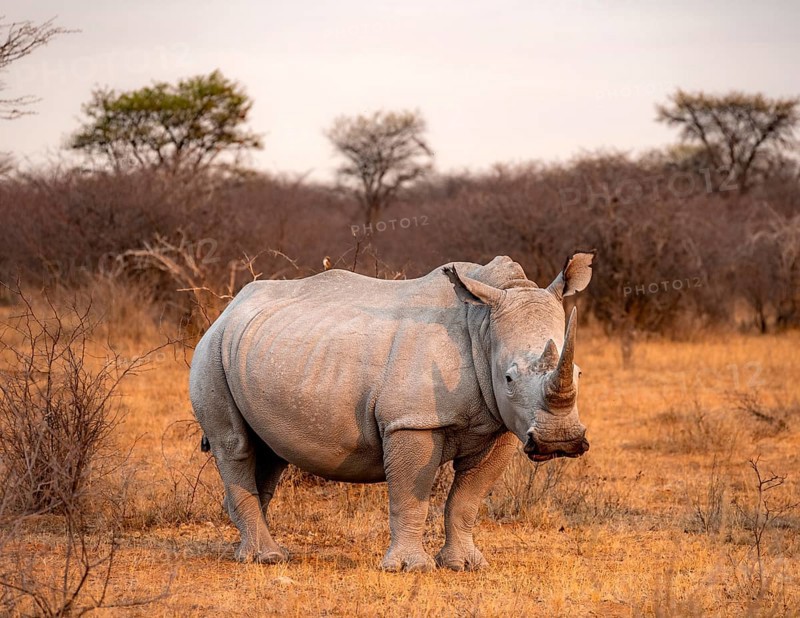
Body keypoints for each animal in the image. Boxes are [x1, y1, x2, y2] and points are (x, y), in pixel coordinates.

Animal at [189, 252, 594, 571]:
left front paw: (465, 565)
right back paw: (267, 558)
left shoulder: (500, 426)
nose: (559, 442)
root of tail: (228, 309)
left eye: (578, 373)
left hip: (258, 349)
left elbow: (467, 498)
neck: (483, 326)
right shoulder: (410, 422)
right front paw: (410, 568)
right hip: (211, 350)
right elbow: (410, 496)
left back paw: (256, 552)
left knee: (271, 451)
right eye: (509, 377)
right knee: (235, 445)